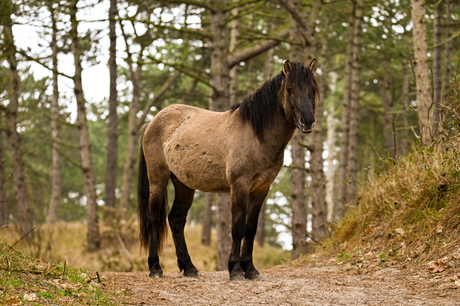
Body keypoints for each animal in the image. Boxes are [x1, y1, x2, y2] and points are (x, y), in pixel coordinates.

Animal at [137, 58, 320, 280]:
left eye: (313, 89)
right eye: (290, 90)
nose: (307, 121)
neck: (256, 135)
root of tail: (152, 123)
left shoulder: (261, 189)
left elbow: (251, 228)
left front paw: (250, 269)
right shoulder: (239, 186)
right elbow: (238, 226)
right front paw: (235, 269)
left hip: (183, 184)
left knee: (176, 220)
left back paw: (189, 267)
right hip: (158, 179)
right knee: (154, 218)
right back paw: (155, 268)